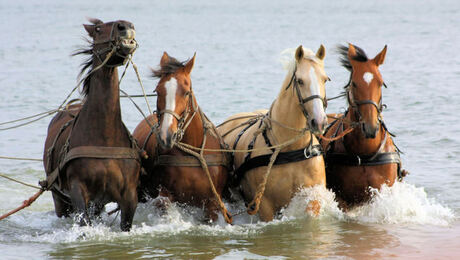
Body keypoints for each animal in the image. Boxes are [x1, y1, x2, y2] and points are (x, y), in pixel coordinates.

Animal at [43, 18, 140, 232]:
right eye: (97, 29)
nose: (126, 26)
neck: (104, 138)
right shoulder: (78, 190)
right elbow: (83, 222)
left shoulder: (129, 196)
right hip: (59, 198)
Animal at [134, 51, 234, 223]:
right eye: (157, 91)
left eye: (187, 92)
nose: (167, 135)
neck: (191, 153)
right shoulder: (164, 197)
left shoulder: (212, 204)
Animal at [217, 45, 328, 221]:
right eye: (300, 81)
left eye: (325, 79)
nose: (319, 121)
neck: (290, 148)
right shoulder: (264, 205)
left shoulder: (312, 197)